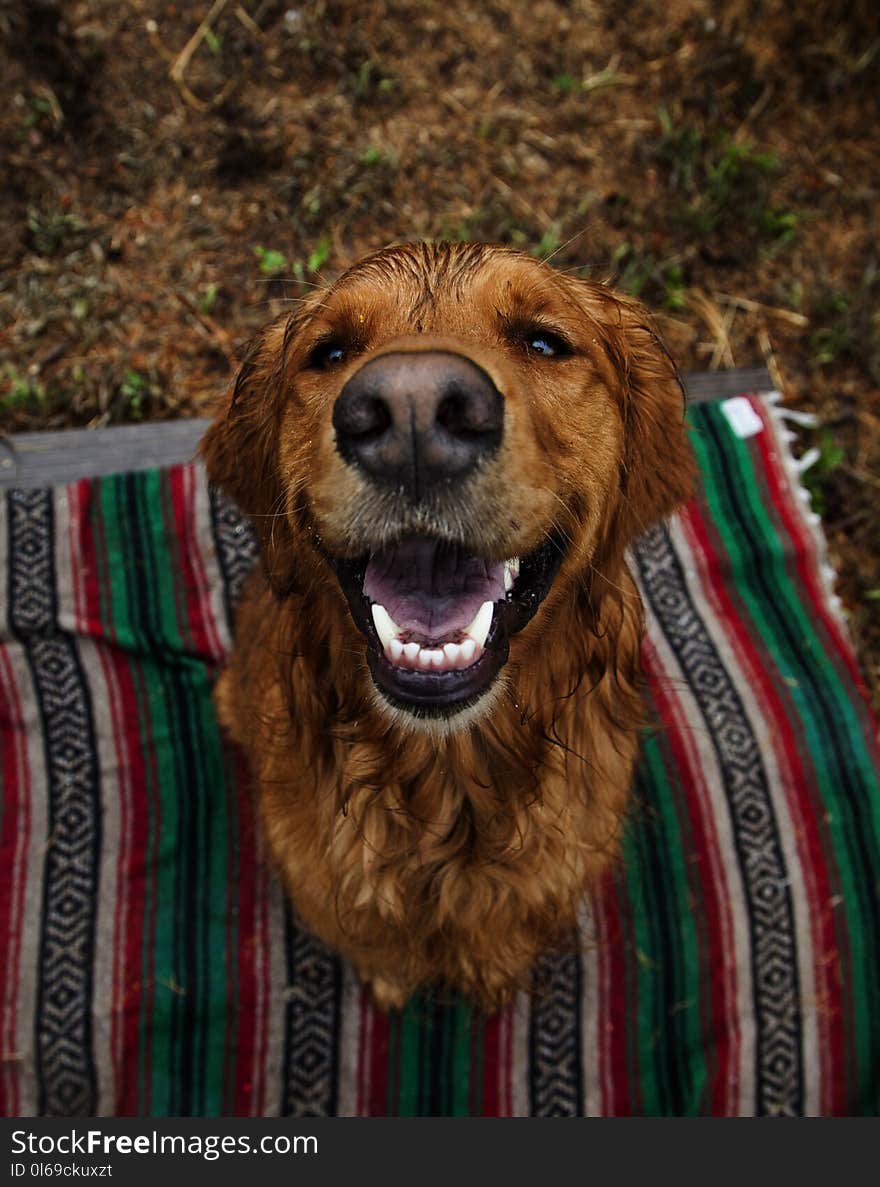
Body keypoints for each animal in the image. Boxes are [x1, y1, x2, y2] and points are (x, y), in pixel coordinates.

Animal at [203, 240, 688, 1011]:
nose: (412, 411)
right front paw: (392, 978)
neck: (448, 787)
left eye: (544, 341)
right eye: (329, 351)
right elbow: (380, 943)